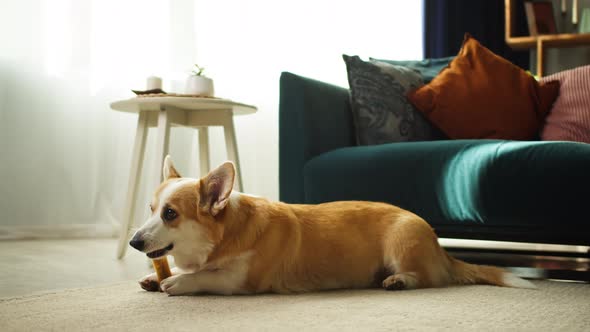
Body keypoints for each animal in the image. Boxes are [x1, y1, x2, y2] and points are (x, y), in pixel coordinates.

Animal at [130, 156, 536, 296]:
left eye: (170, 214)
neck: (225, 234)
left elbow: (205, 277)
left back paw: (399, 281)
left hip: (401, 241)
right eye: (151, 209)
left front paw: (177, 282)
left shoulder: (242, 280)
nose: (134, 242)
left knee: (430, 279)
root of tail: (440, 247)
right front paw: (155, 276)